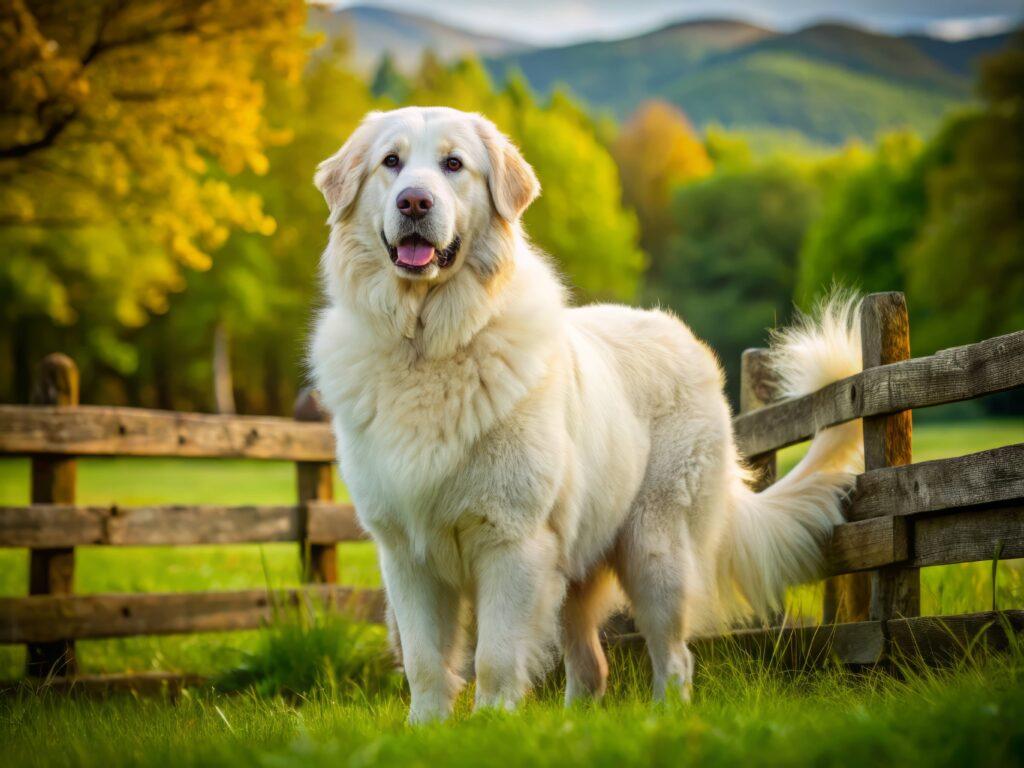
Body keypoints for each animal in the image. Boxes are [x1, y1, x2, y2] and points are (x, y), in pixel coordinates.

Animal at [311, 105, 864, 724]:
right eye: (392, 162)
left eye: (454, 165)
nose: (413, 203)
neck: (429, 346)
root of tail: (681, 336)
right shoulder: (406, 552)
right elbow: (425, 661)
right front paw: (427, 729)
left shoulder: (512, 541)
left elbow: (495, 657)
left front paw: (492, 725)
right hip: (574, 568)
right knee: (592, 665)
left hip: (656, 552)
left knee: (674, 656)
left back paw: (662, 717)